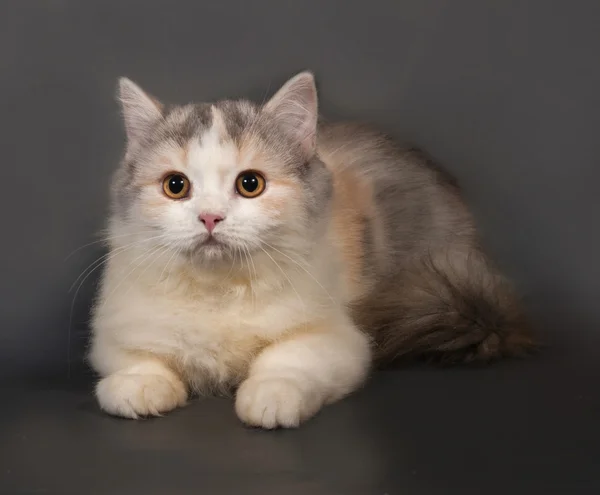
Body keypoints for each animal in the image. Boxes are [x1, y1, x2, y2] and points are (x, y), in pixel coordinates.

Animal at [89, 70, 536, 430]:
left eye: (250, 184)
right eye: (175, 186)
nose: (211, 218)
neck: (221, 292)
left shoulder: (337, 338)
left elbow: (285, 360)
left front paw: (269, 397)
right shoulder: (114, 333)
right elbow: (140, 361)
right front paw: (138, 386)